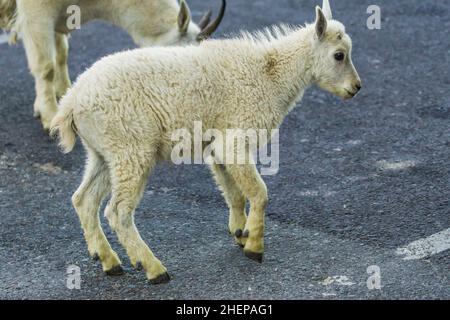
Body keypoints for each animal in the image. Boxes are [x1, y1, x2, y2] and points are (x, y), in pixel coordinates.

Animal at [51, 0, 362, 284]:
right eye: (339, 55)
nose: (356, 88)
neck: (270, 74)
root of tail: (71, 103)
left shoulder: (216, 145)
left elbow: (234, 192)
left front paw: (240, 233)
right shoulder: (236, 137)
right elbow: (259, 192)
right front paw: (254, 248)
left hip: (103, 153)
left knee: (84, 199)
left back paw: (108, 261)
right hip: (131, 149)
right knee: (117, 212)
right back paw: (153, 269)